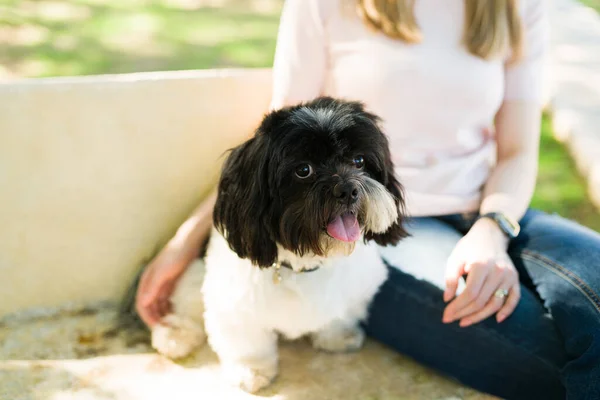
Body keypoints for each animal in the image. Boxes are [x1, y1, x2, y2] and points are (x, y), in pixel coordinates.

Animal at [150, 96, 408, 390]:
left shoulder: (353, 291)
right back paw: (175, 335)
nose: (347, 189)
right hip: (195, 276)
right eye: (303, 170)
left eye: (359, 160)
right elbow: (248, 343)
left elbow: (337, 314)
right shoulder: (234, 305)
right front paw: (251, 370)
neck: (304, 264)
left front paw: (337, 336)